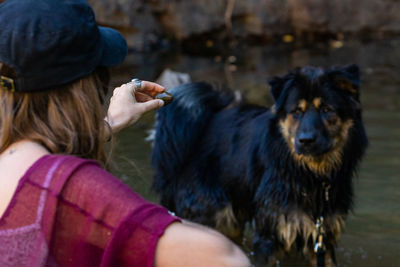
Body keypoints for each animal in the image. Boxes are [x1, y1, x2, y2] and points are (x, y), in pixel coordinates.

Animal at [151, 64, 368, 266]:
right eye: (297, 111)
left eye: (327, 110)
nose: (306, 140)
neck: (310, 176)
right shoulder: (270, 234)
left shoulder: (323, 236)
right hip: (210, 214)